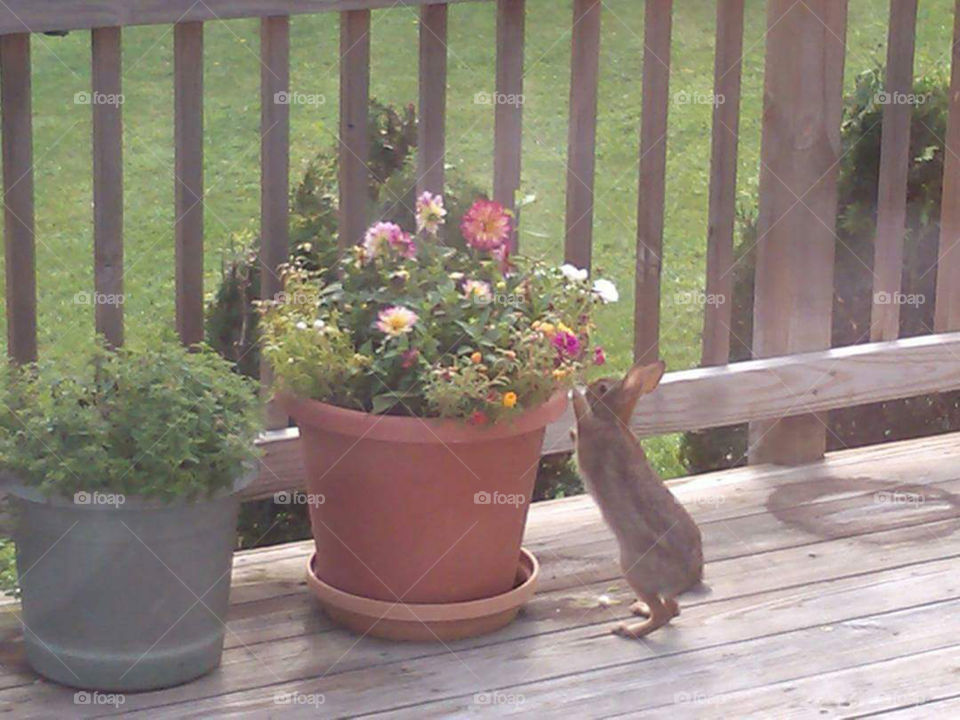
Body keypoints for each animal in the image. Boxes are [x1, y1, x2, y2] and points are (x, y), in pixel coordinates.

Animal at [571, 360, 704, 638]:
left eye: (602, 388)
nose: (587, 387)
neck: (614, 421)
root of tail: (690, 581)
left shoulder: (591, 437)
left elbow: (582, 418)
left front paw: (573, 394)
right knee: (672, 609)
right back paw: (638, 611)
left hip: (632, 569)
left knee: (663, 614)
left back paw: (627, 630)